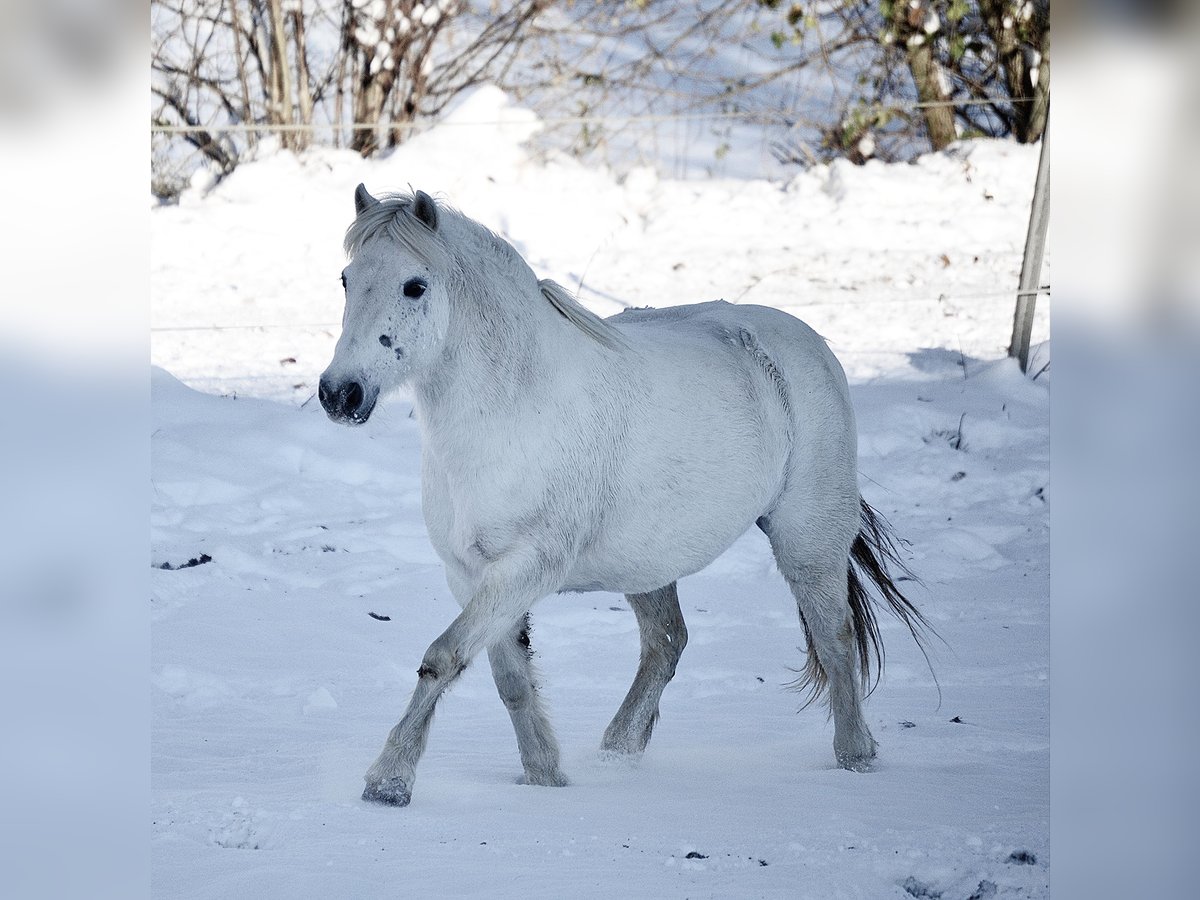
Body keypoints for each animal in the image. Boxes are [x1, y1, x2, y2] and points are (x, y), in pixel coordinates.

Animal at [316, 187, 926, 806]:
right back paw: (618, 752)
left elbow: (442, 658)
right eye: (346, 279)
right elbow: (510, 680)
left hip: (808, 540)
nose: (340, 393)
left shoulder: (524, 569)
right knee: (667, 642)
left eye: (415, 285)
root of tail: (809, 343)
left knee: (834, 637)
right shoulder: (471, 575)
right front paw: (545, 777)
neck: (515, 409)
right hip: (649, 563)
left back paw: (854, 757)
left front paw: (389, 780)